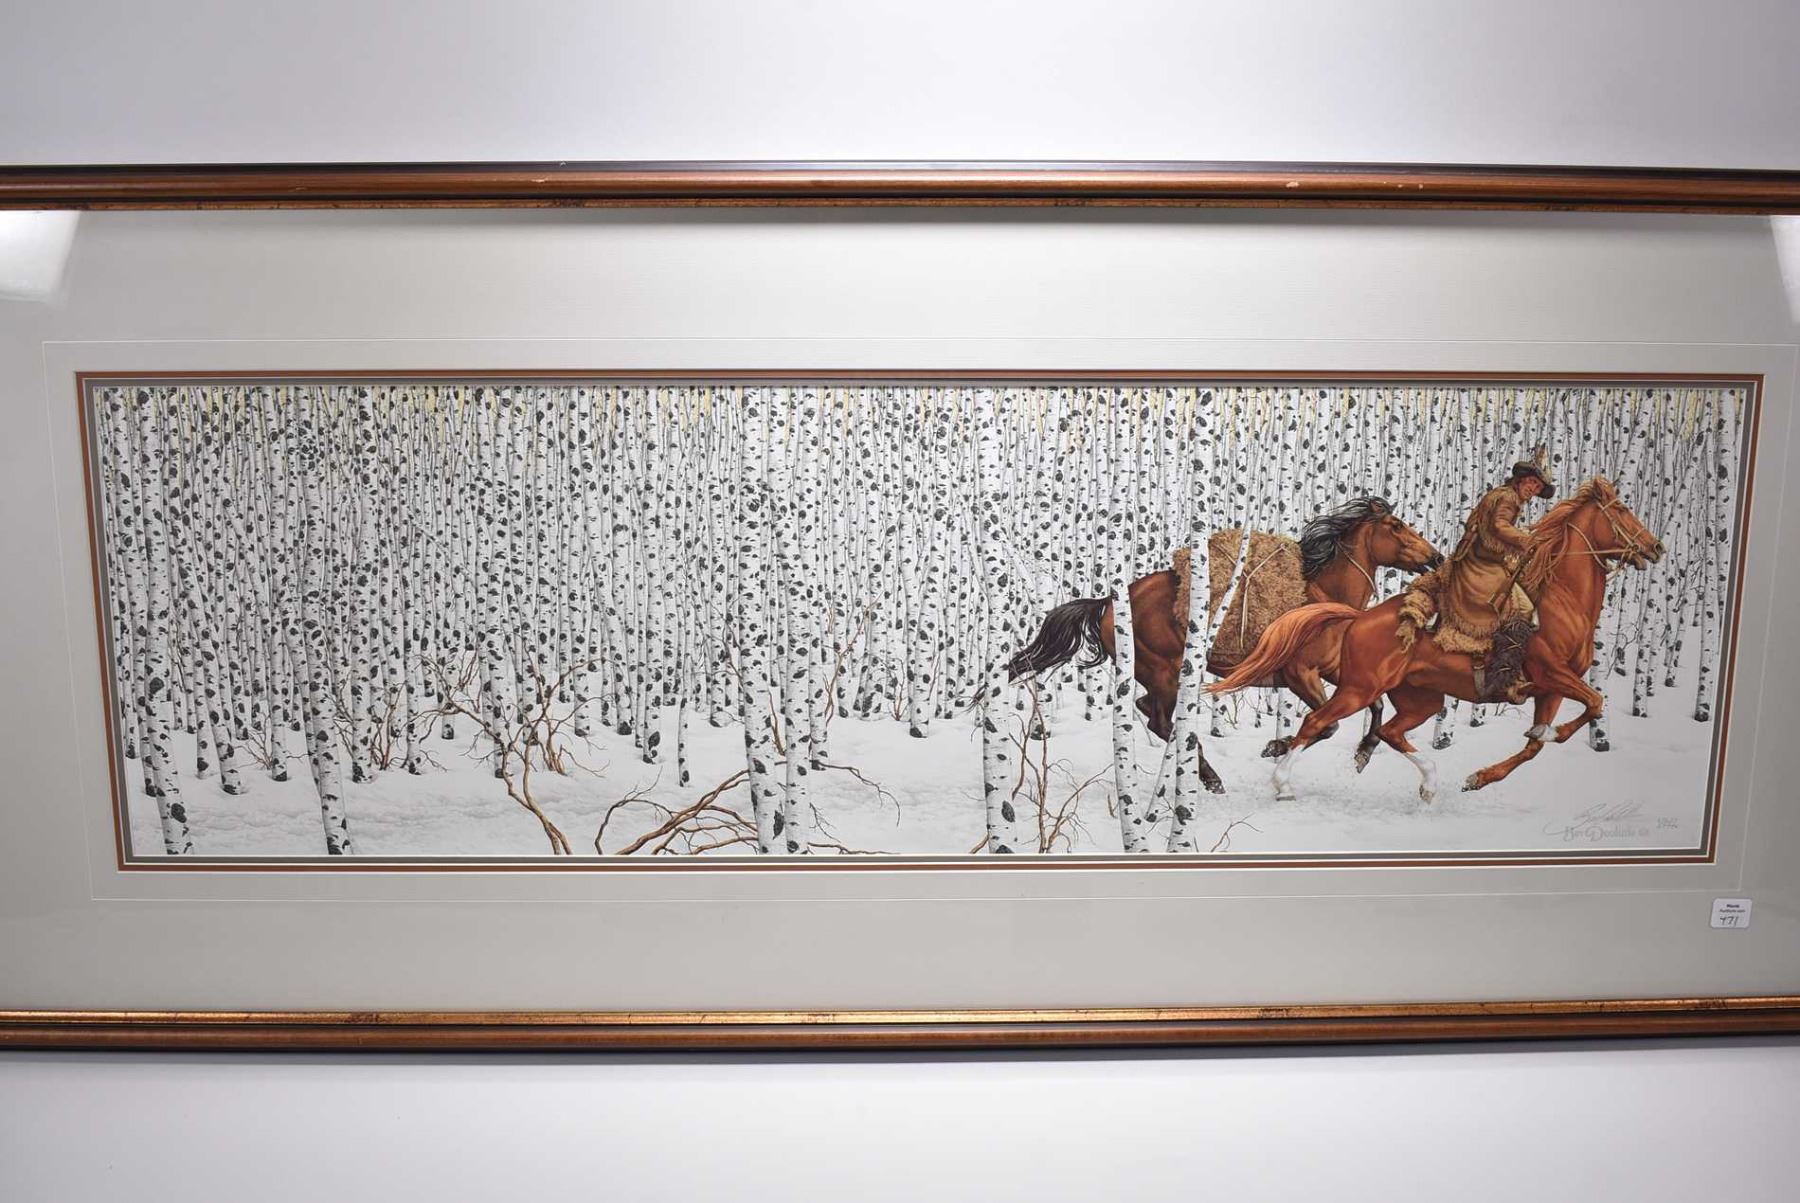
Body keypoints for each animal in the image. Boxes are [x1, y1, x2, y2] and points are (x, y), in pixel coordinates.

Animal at [1005, 497, 1443, 791]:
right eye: (1397, 526)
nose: (1437, 556)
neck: (1322, 598)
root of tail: (1110, 602)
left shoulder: (1340, 673)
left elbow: (1375, 707)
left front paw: (1364, 752)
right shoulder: (1299, 675)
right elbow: (1327, 723)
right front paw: (1275, 746)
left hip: (1159, 677)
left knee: (1150, 712)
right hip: (1164, 672)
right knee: (1159, 719)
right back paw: (1210, 777)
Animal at [1207, 477, 1663, 803]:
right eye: (1621, 509)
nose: (1656, 547)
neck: (1560, 603)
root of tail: (1359, 619)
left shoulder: (1548, 689)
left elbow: (1543, 739)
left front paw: (1481, 776)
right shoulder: (1552, 673)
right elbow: (1594, 702)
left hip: (1419, 698)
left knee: (1388, 730)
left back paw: (1425, 782)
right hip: (1361, 688)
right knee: (1319, 722)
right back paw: (1280, 783)